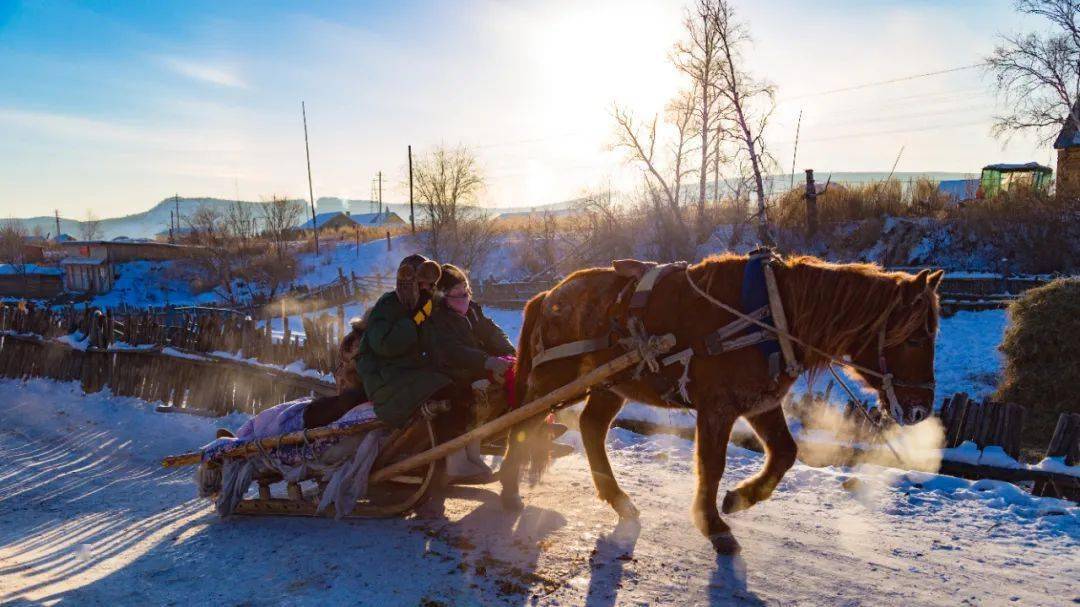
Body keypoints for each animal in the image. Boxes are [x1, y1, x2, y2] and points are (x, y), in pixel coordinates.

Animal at [501, 251, 941, 552]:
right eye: (916, 338)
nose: (921, 409)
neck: (771, 316)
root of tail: (550, 294)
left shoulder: (760, 403)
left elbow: (785, 452)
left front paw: (739, 498)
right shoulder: (717, 408)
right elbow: (712, 465)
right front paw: (712, 524)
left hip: (610, 385)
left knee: (591, 428)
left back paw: (618, 500)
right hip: (553, 380)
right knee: (521, 424)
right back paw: (509, 488)